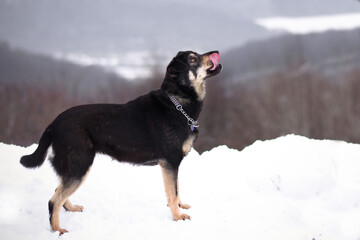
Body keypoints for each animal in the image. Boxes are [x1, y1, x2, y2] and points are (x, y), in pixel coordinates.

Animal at [20, 49, 222, 233]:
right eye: (193, 59)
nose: (215, 52)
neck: (177, 102)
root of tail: (54, 124)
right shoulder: (170, 162)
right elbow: (172, 193)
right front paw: (177, 217)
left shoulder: (173, 164)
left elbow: (177, 188)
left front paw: (180, 207)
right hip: (80, 165)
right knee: (53, 201)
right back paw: (58, 230)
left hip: (73, 167)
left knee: (58, 192)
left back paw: (70, 208)